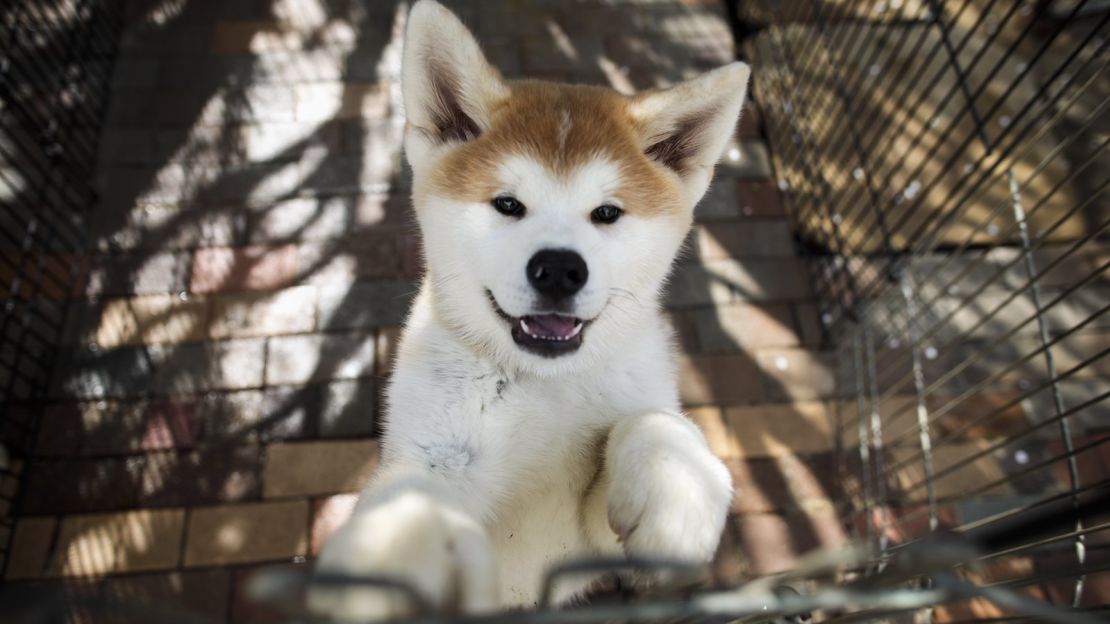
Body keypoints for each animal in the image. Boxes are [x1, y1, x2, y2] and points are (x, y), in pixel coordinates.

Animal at [313, 0, 754, 612]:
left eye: (607, 213)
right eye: (507, 204)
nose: (560, 269)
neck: (544, 385)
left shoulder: (588, 534)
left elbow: (658, 421)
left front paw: (676, 490)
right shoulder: (439, 457)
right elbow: (413, 503)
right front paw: (383, 560)